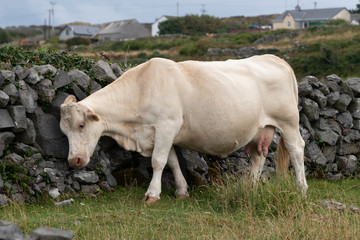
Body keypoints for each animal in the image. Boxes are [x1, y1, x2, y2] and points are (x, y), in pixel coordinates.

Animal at [60, 54, 308, 202]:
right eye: (64, 131)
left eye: (81, 125)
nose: (74, 160)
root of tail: (274, 58)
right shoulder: (162, 132)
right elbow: (171, 161)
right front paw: (181, 191)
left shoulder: (167, 125)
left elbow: (158, 161)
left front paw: (152, 194)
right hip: (261, 128)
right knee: (258, 156)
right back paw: (251, 188)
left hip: (288, 122)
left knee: (296, 150)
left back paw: (301, 188)